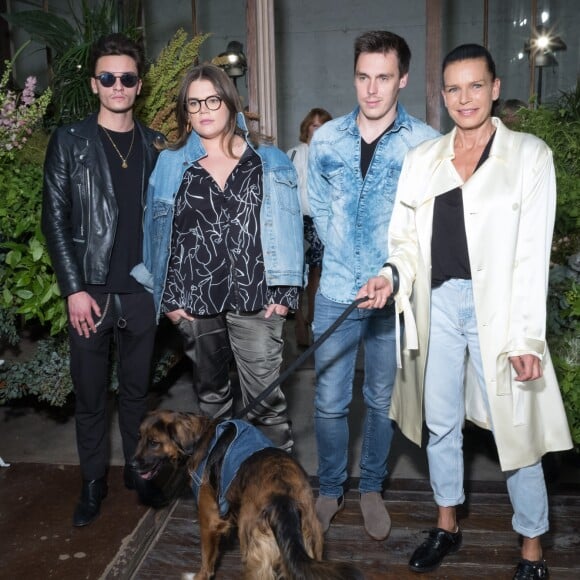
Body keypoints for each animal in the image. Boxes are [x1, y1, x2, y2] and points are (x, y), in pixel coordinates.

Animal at [134, 410, 364, 576]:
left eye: (154, 442)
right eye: (140, 438)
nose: (133, 465)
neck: (203, 436)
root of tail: (282, 501)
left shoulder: (209, 520)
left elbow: (206, 561)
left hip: (255, 557)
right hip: (310, 545)